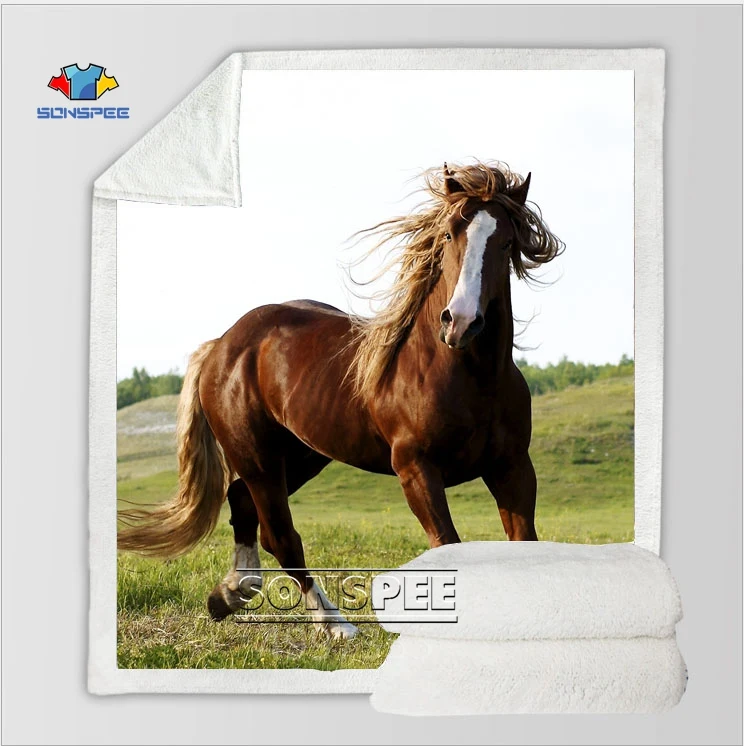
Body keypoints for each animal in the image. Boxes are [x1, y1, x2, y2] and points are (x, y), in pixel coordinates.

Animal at [118, 161, 564, 639]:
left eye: (507, 242)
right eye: (448, 235)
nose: (460, 322)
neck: (469, 377)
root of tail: (222, 344)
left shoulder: (512, 467)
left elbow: (525, 542)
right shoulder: (417, 470)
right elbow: (447, 544)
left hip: (301, 456)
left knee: (242, 504)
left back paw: (231, 594)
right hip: (258, 458)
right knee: (281, 536)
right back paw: (334, 624)